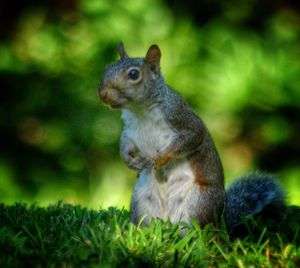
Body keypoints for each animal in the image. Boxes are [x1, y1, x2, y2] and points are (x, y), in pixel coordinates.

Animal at [98, 43, 286, 233]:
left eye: (134, 74)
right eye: (107, 68)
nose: (102, 94)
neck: (140, 110)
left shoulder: (182, 118)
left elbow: (189, 138)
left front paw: (160, 158)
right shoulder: (130, 130)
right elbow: (125, 143)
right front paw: (129, 160)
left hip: (199, 201)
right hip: (140, 198)